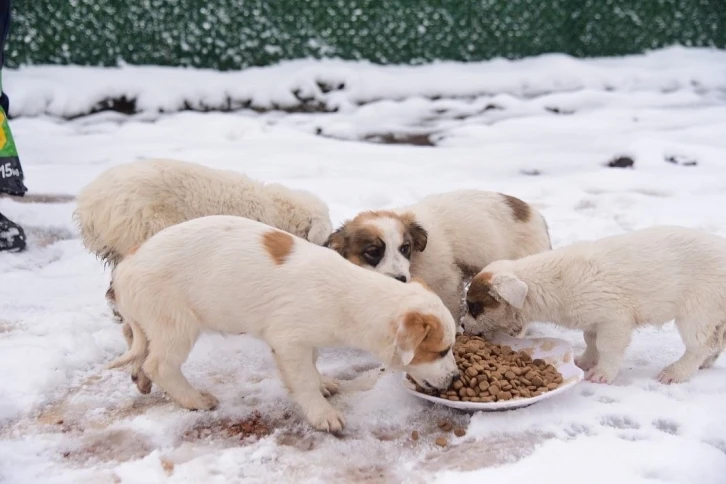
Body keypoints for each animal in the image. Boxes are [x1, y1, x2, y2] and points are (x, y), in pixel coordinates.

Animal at [106, 215, 460, 432]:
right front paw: (322, 413)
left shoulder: (307, 341)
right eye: (441, 351)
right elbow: (302, 381)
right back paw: (194, 400)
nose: (456, 377)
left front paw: (322, 382)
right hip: (175, 325)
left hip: (152, 325)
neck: (350, 295)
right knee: (160, 365)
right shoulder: (289, 342)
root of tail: (125, 267)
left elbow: (312, 365)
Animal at [326, 189, 552, 322]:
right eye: (373, 252)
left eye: (405, 248)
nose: (401, 279)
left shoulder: (447, 283)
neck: (415, 262)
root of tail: (536, 215)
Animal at [464, 227, 726, 386]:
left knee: (699, 346)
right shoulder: (592, 320)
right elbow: (590, 340)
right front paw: (586, 360)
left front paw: (602, 373)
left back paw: (676, 372)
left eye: (474, 307)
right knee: (716, 342)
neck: (550, 282)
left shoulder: (614, 321)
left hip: (697, 312)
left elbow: (607, 347)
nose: (464, 327)